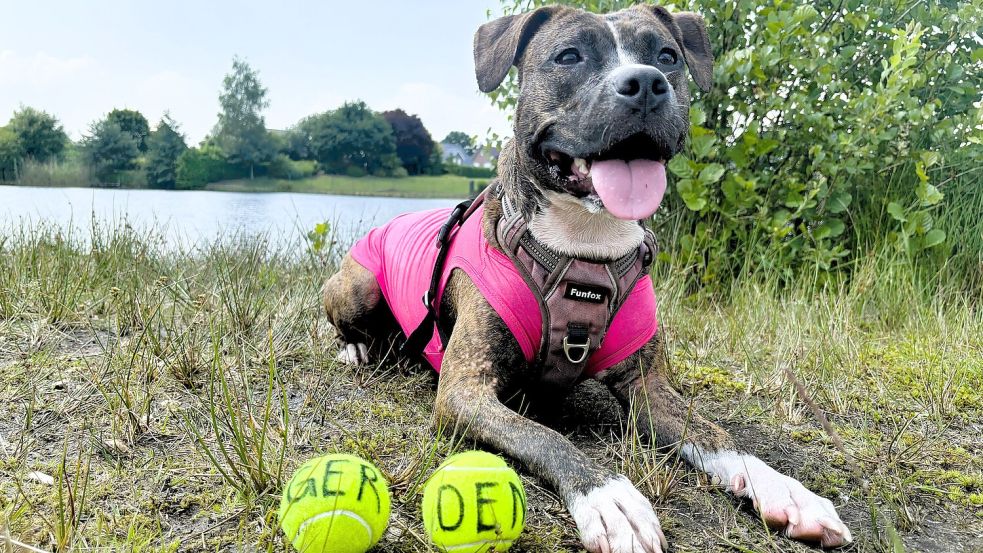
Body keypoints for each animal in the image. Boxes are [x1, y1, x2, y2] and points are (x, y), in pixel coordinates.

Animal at [324, 5, 852, 552]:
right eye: (568, 56)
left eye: (667, 56)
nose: (645, 84)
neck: (586, 248)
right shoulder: (465, 392)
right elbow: (546, 437)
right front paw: (610, 498)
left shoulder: (648, 386)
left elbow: (719, 436)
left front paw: (783, 489)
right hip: (358, 287)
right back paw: (356, 349)